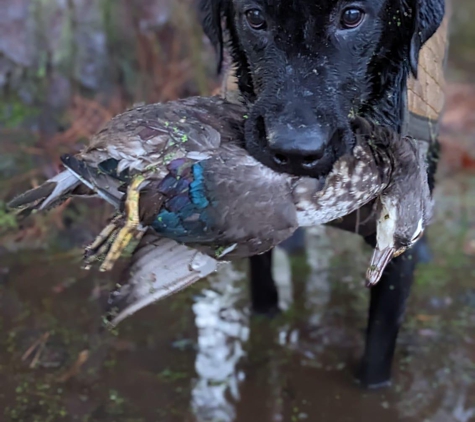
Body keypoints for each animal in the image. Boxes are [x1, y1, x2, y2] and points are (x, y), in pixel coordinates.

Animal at [199, 0, 448, 390]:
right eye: (254, 16)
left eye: (352, 16)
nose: (295, 151)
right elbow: (262, 290)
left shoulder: (397, 248)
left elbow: (378, 347)